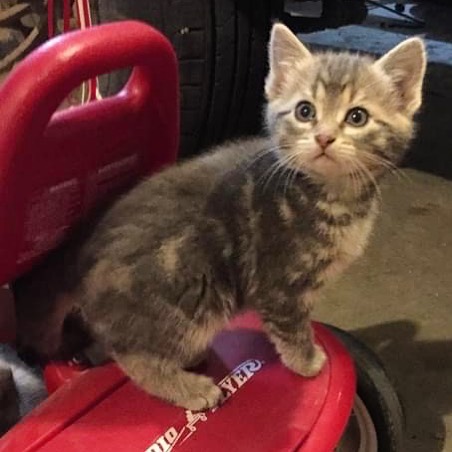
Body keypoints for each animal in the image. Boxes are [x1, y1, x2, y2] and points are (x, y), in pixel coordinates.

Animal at [11, 24, 428, 412]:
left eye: (357, 117)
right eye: (305, 111)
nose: (324, 138)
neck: (331, 196)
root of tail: (77, 259)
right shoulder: (279, 285)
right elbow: (292, 328)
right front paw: (307, 361)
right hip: (191, 293)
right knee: (132, 353)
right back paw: (186, 387)